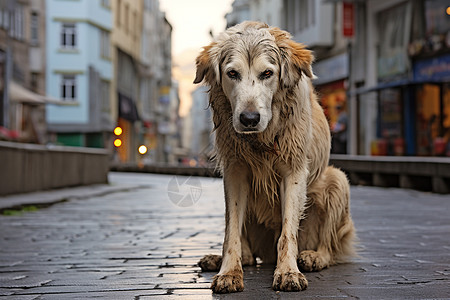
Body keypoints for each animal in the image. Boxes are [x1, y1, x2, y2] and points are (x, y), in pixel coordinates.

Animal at [193, 21, 356, 292]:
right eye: (232, 73)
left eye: (267, 74)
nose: (249, 119)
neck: (262, 139)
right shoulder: (234, 171)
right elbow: (231, 230)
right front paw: (229, 272)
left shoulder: (294, 170)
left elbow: (288, 232)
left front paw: (288, 272)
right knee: (248, 252)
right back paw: (222, 258)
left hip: (337, 181)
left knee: (329, 247)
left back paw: (313, 256)